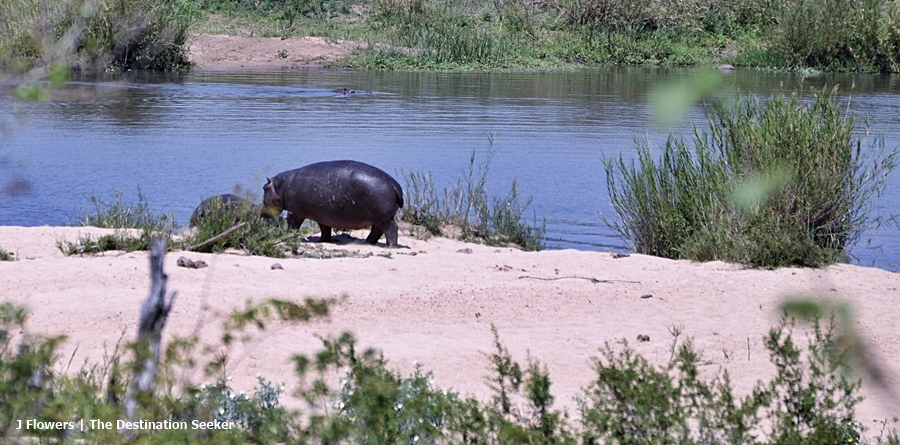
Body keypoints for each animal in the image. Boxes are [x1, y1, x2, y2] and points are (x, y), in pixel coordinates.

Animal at [264, 160, 404, 248]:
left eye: (264, 188)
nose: (262, 214)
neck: (281, 186)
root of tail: (394, 184)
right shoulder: (321, 215)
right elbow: (324, 228)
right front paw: (321, 241)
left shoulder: (294, 213)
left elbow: (292, 226)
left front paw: (287, 236)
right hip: (379, 217)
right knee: (377, 231)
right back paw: (365, 243)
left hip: (383, 217)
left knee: (391, 229)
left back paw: (390, 247)